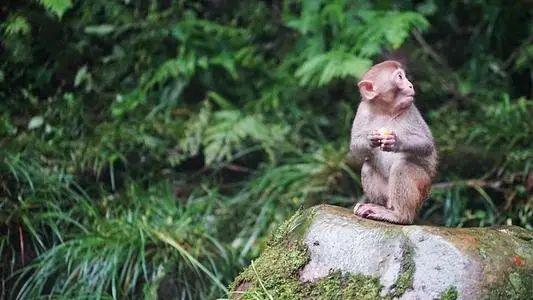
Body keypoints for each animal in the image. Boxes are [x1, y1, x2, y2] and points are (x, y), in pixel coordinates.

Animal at [350, 61, 436, 224]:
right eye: (400, 77)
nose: (410, 85)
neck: (385, 111)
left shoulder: (411, 109)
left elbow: (426, 144)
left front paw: (396, 141)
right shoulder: (362, 110)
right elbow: (354, 148)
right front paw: (370, 139)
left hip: (423, 187)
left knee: (402, 167)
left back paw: (399, 216)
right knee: (368, 166)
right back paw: (378, 207)